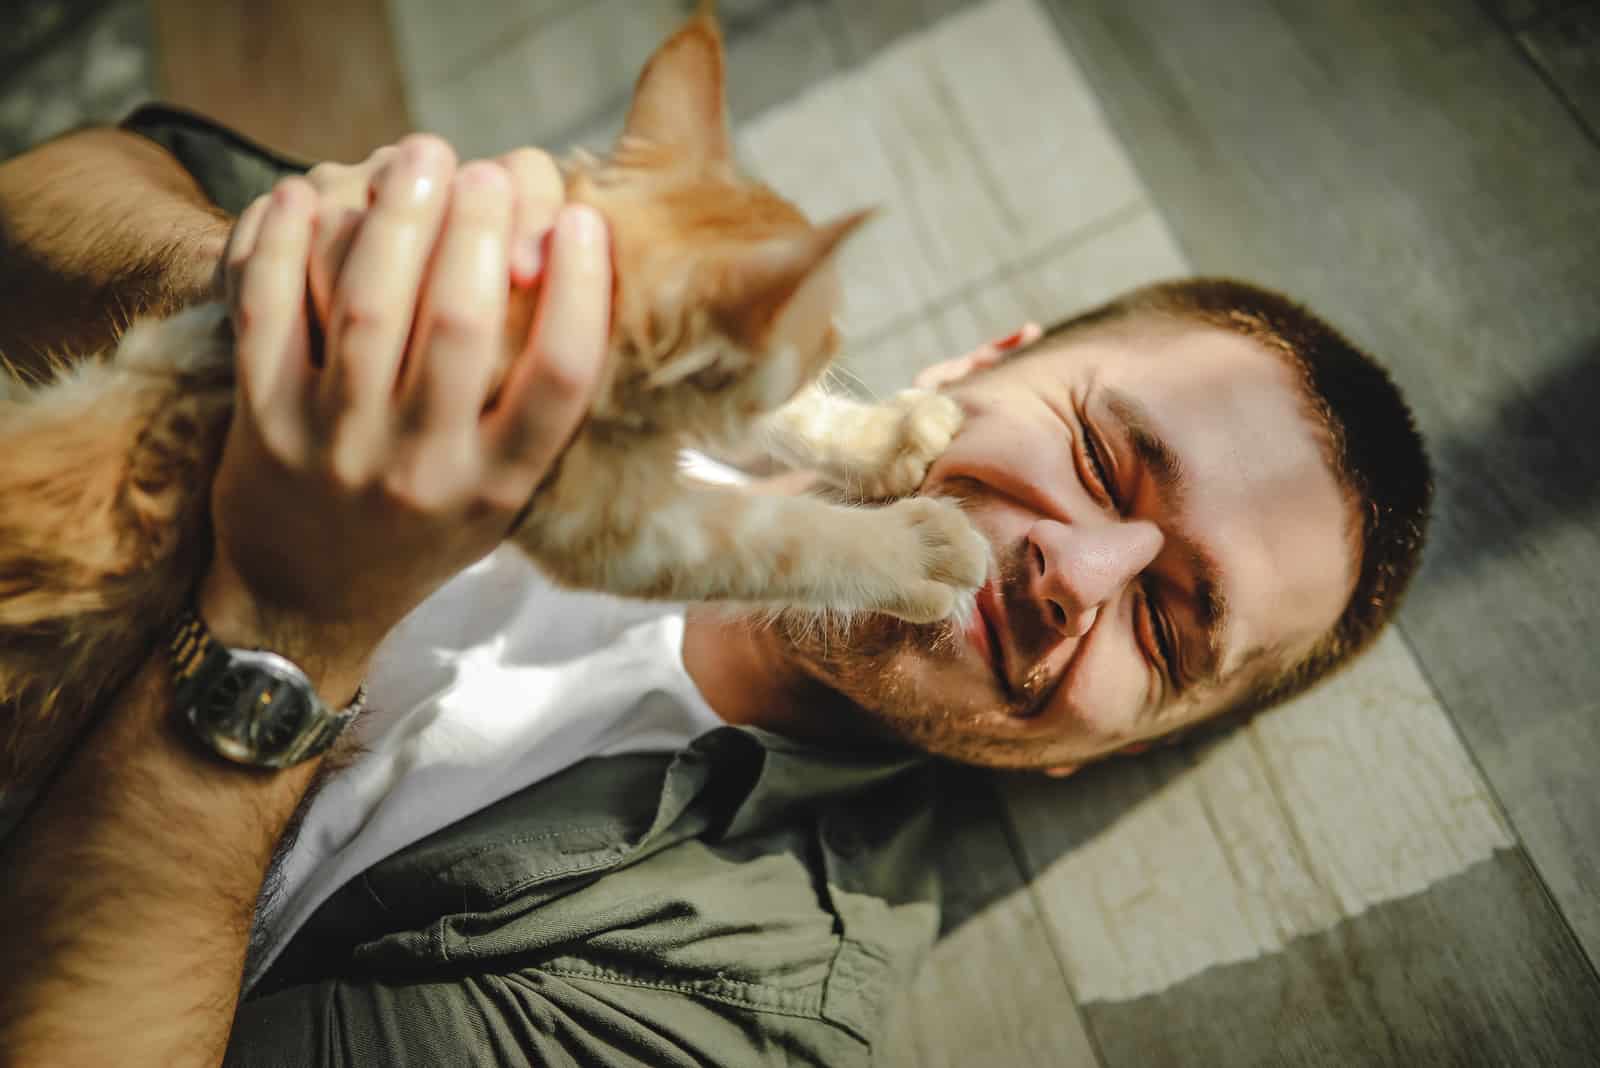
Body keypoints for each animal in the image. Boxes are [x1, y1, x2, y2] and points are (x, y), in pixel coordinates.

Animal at [0, 10, 985, 824]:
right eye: (826, 330)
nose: (842, 343)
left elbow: (776, 430)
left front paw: (887, 438)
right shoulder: (604, 523)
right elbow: (776, 540)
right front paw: (915, 551)